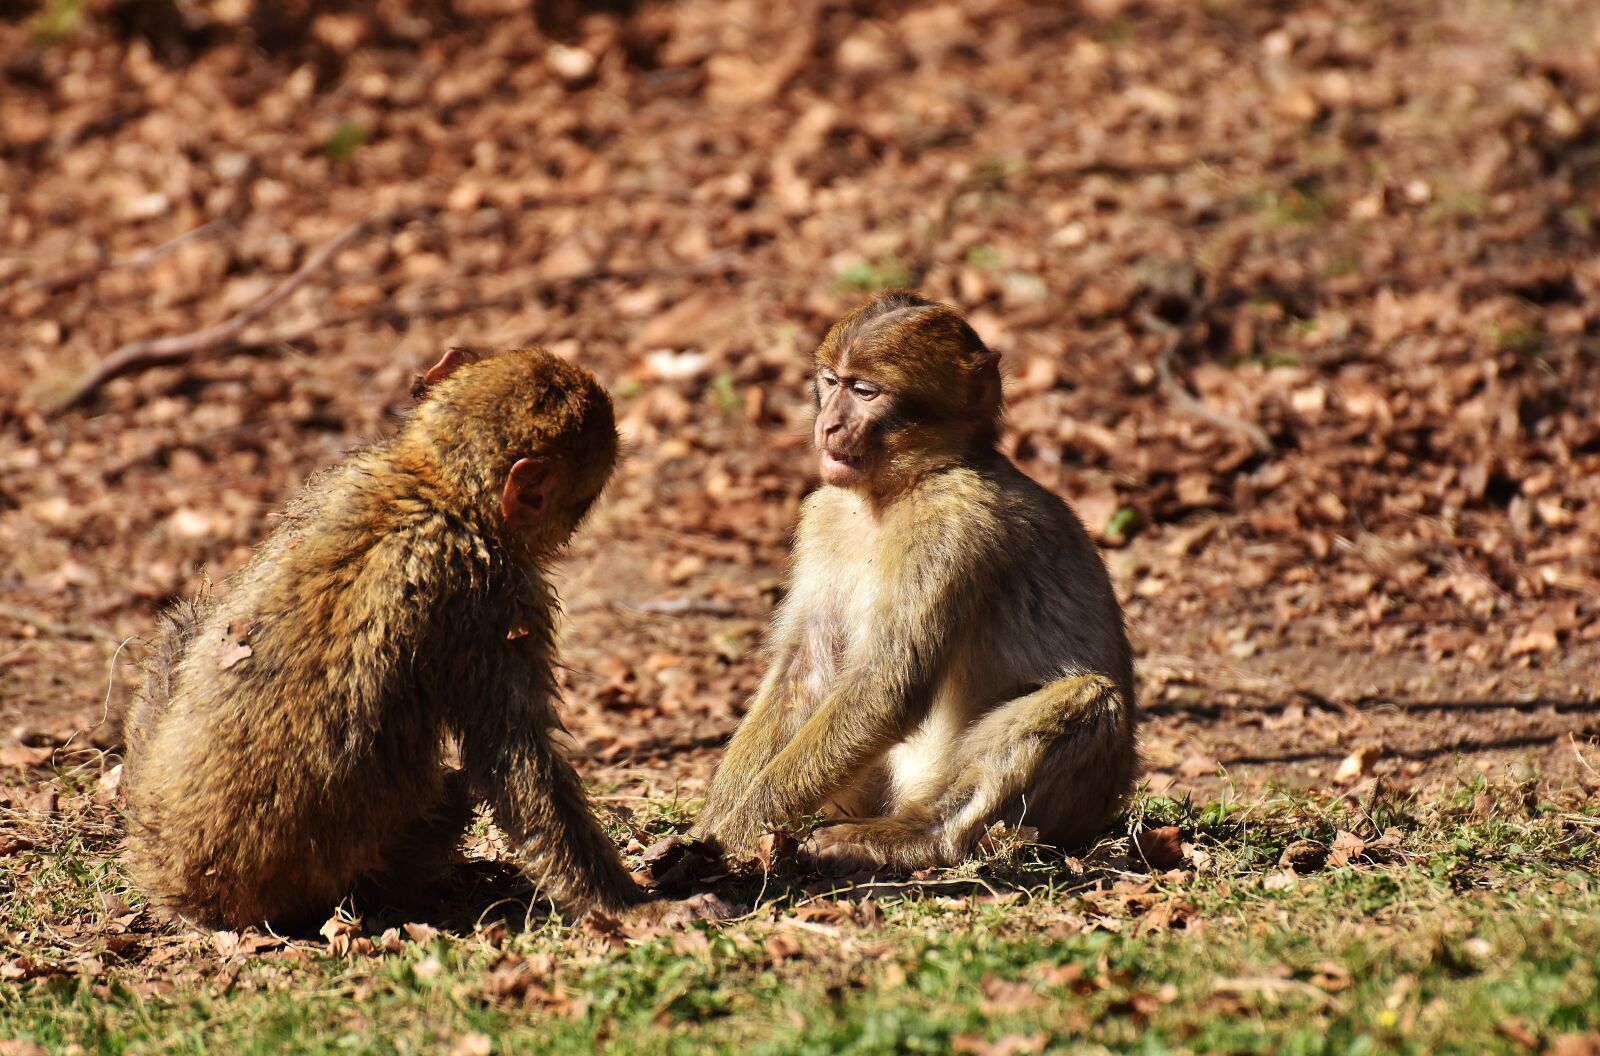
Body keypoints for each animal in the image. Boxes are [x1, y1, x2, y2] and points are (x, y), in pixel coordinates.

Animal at [124, 347, 716, 929]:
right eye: (584, 497)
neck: (436, 487)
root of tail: (182, 889)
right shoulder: (492, 598)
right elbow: (514, 760)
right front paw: (628, 906)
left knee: (190, 618)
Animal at [690, 291, 1138, 873]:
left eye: (865, 391)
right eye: (831, 381)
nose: (828, 425)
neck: (895, 491)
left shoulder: (952, 524)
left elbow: (887, 685)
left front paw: (728, 838)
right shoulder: (824, 514)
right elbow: (807, 670)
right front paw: (708, 827)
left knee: (1089, 697)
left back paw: (915, 839)